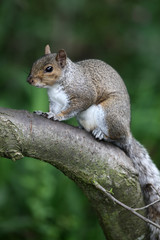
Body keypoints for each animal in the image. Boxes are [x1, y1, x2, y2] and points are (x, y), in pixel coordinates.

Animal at [27, 44, 160, 239]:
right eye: (34, 62)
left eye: (49, 69)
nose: (29, 80)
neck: (58, 84)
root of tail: (128, 132)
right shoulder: (55, 101)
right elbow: (53, 108)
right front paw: (46, 113)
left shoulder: (84, 94)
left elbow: (70, 109)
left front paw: (57, 117)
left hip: (109, 114)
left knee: (117, 137)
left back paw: (101, 134)